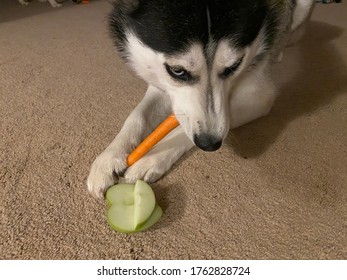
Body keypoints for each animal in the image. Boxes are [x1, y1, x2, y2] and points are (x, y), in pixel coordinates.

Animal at [87, 0, 316, 198]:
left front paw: (151, 158)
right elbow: (137, 116)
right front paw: (108, 158)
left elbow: (183, 129)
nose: (210, 144)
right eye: (177, 71)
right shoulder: (162, 84)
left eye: (234, 66)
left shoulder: (260, 96)